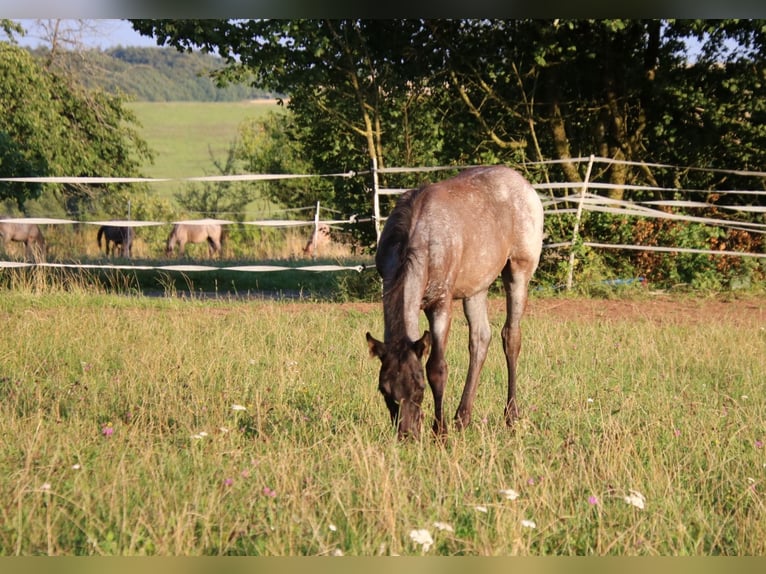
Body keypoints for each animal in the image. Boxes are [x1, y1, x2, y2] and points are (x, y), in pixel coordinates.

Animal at [365, 166, 544, 439]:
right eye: (384, 390)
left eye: (419, 388)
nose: (408, 434)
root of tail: (526, 185)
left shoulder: (441, 303)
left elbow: (437, 368)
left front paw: (440, 431)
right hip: (476, 287)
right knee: (480, 339)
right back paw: (463, 417)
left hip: (519, 270)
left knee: (511, 336)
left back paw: (511, 416)